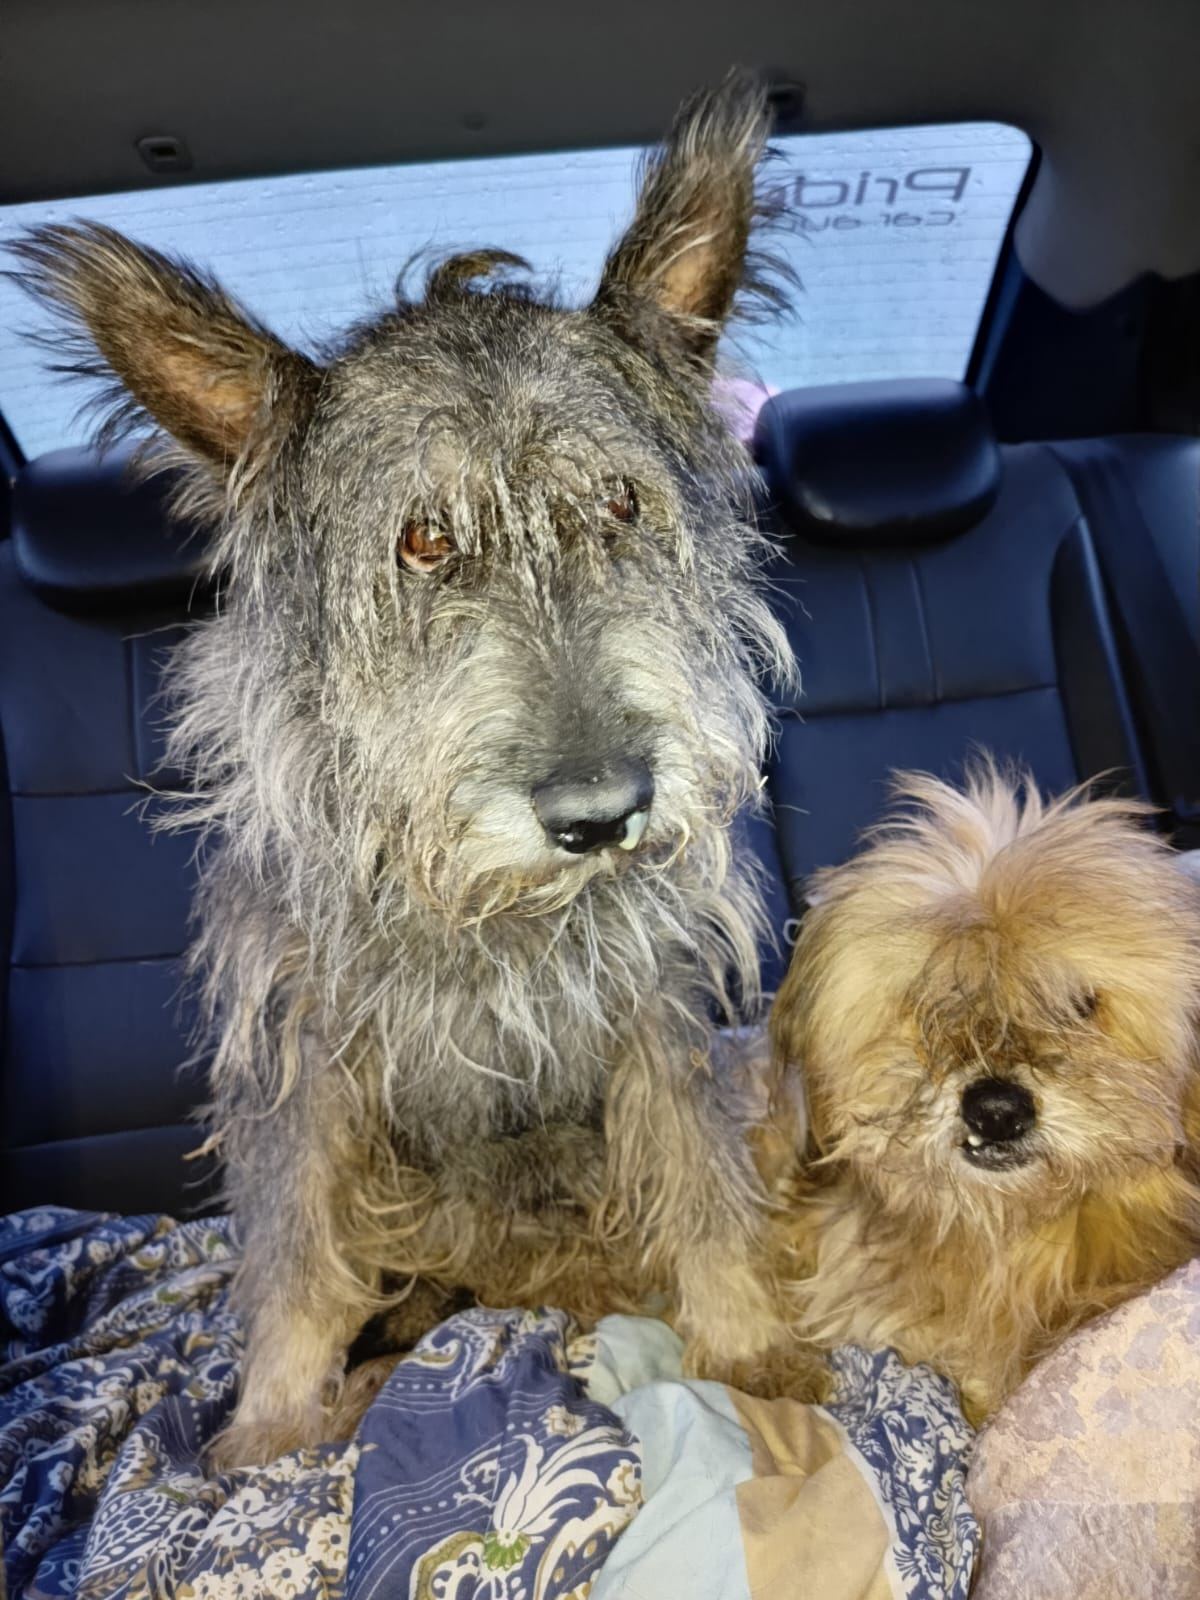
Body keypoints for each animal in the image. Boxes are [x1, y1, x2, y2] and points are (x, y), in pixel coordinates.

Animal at [10, 70, 799, 1464]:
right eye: (423, 539)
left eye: (620, 506)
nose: (601, 812)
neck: (488, 918)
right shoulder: (307, 1058)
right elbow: (298, 1250)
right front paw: (269, 1429)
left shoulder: (654, 1011)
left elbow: (701, 1176)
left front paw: (749, 1352)